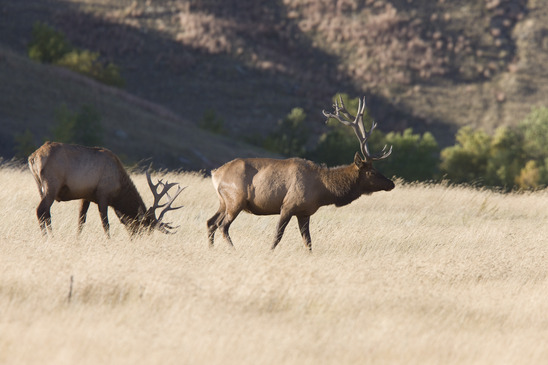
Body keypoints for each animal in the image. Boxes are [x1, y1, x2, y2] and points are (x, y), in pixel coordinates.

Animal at [29, 139, 184, 236]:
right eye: (144, 228)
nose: (137, 239)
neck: (119, 191)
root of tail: (33, 157)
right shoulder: (103, 195)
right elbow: (106, 224)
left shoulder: (86, 196)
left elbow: (81, 220)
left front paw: (77, 240)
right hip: (51, 184)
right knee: (40, 211)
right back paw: (49, 237)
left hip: (39, 186)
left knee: (46, 213)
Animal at [207, 96, 394, 250]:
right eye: (371, 171)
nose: (391, 183)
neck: (323, 190)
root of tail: (215, 174)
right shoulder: (288, 205)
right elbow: (277, 236)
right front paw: (269, 252)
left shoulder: (304, 212)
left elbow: (308, 242)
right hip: (235, 200)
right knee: (223, 226)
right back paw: (233, 250)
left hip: (224, 202)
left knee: (211, 222)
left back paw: (211, 248)